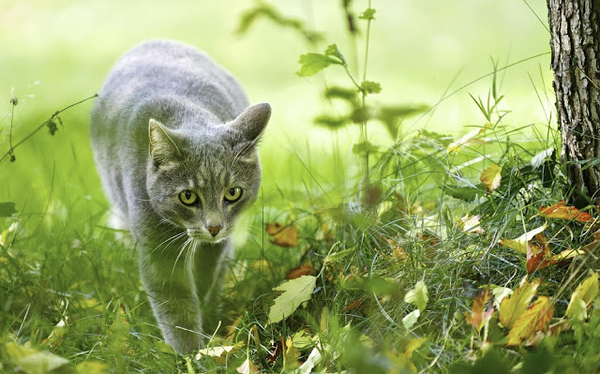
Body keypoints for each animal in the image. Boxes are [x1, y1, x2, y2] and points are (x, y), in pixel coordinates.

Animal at [90, 41, 270, 354]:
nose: (214, 227)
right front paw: (191, 354)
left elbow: (204, 276)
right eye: (187, 196)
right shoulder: (157, 246)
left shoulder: (215, 248)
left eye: (233, 192)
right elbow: (175, 302)